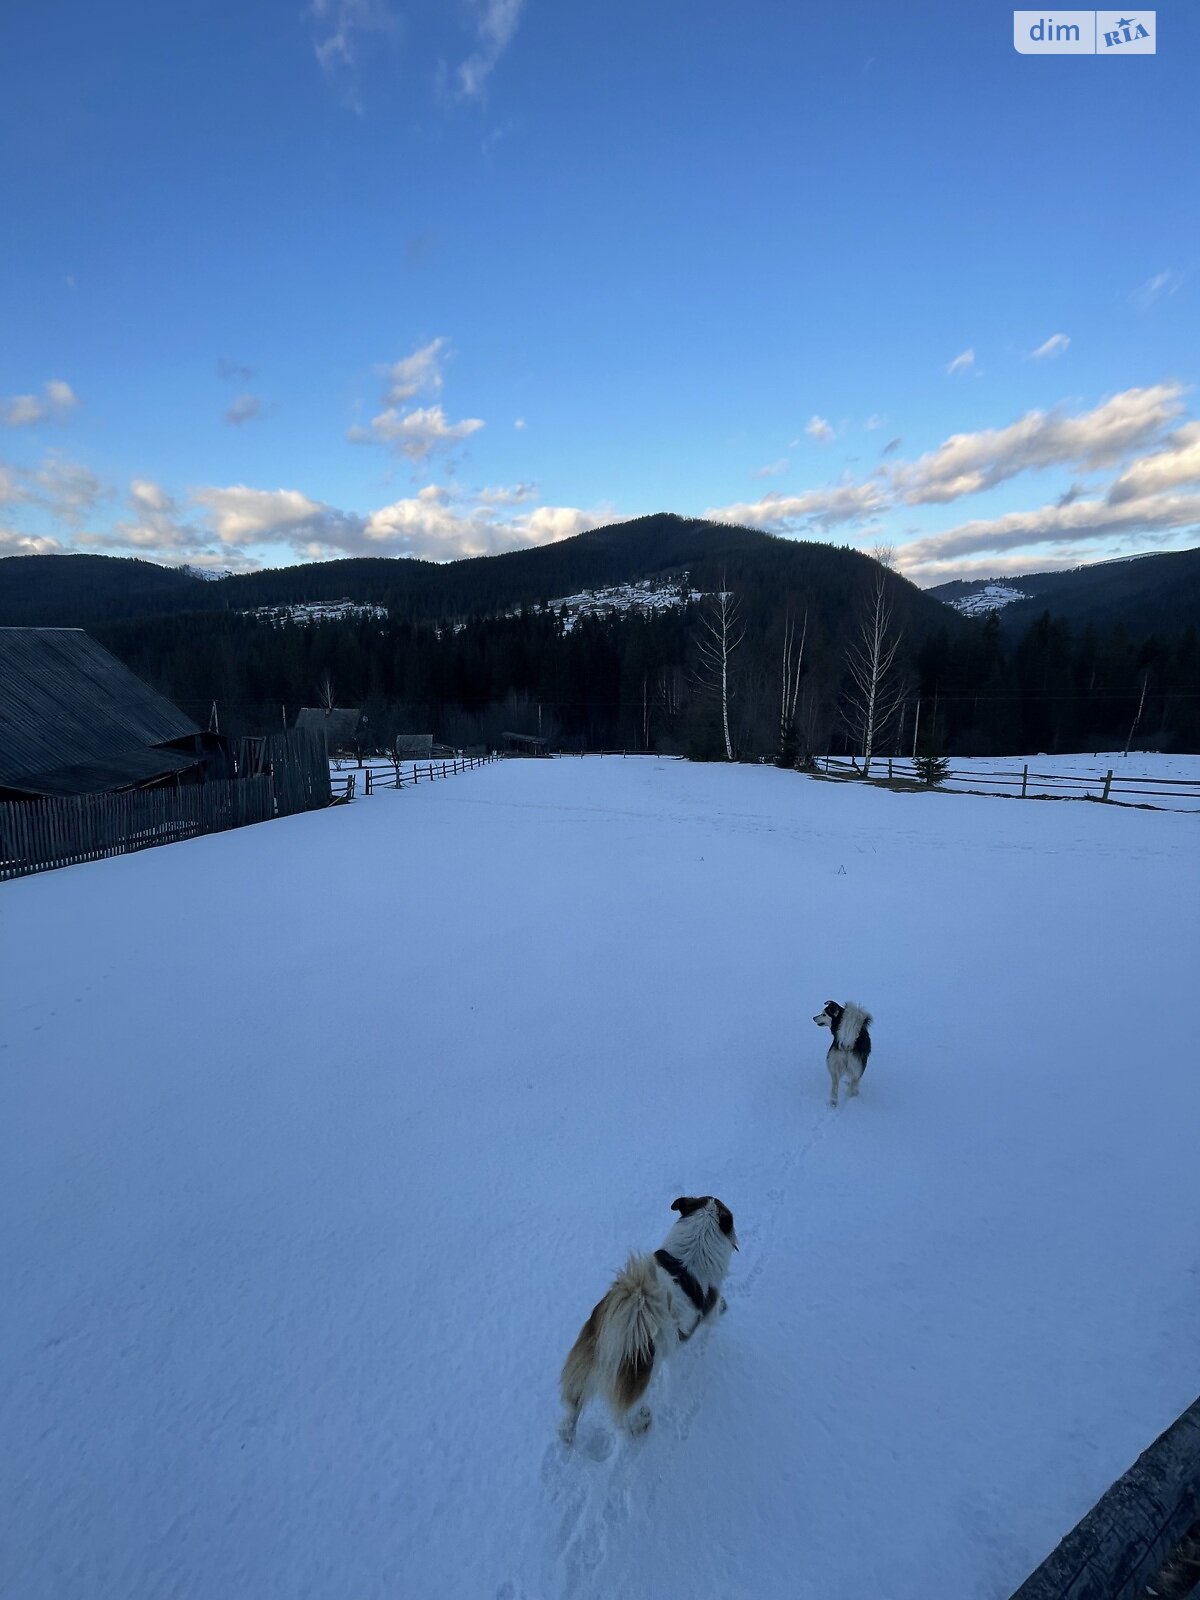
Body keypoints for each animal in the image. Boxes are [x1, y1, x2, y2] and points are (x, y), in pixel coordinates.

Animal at [560, 1196, 739, 1446]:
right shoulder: (709, 1309)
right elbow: (714, 1311)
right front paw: (723, 1306)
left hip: (582, 1369)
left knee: (572, 1408)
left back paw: (568, 1435)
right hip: (636, 1384)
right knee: (623, 1419)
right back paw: (640, 1424)